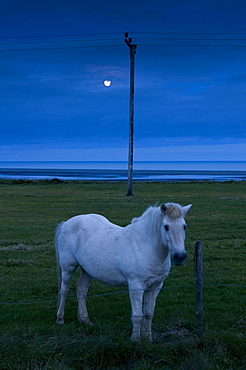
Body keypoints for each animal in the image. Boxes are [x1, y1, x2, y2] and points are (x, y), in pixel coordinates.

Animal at [55, 202, 192, 342]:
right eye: (166, 227)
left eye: (184, 226)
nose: (180, 256)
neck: (145, 245)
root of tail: (66, 223)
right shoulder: (136, 286)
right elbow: (138, 315)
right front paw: (135, 339)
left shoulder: (155, 286)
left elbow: (149, 313)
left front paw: (148, 339)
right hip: (68, 267)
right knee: (64, 290)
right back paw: (60, 319)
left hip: (87, 271)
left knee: (81, 289)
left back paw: (85, 320)